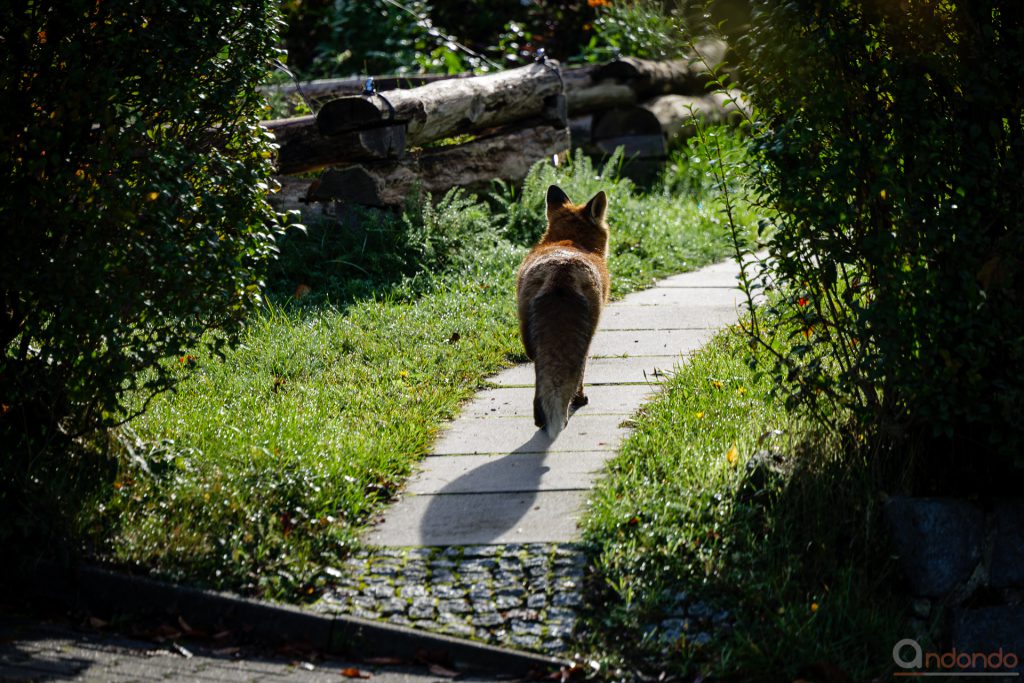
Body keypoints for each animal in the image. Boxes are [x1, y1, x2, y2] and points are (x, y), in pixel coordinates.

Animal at [520, 183, 606, 438]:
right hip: (587, 334)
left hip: (528, 339)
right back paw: (574, 403)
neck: (569, 241)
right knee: (578, 370)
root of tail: (561, 270)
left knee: (540, 375)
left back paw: (541, 420)